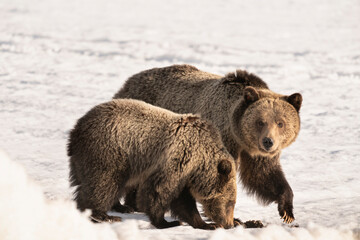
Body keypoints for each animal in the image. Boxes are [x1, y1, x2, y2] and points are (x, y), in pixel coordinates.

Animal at [68, 99, 238, 229]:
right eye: (230, 202)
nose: (229, 224)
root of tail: (76, 129)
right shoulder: (175, 160)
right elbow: (159, 192)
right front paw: (167, 222)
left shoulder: (184, 174)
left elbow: (182, 201)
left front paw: (205, 224)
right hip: (110, 151)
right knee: (104, 182)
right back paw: (102, 215)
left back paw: (122, 207)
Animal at [113, 64, 300, 223]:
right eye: (260, 122)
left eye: (280, 123)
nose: (268, 142)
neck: (238, 136)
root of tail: (129, 81)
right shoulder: (221, 140)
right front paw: (231, 217)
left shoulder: (256, 153)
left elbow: (263, 174)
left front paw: (287, 211)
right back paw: (123, 206)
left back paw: (133, 203)